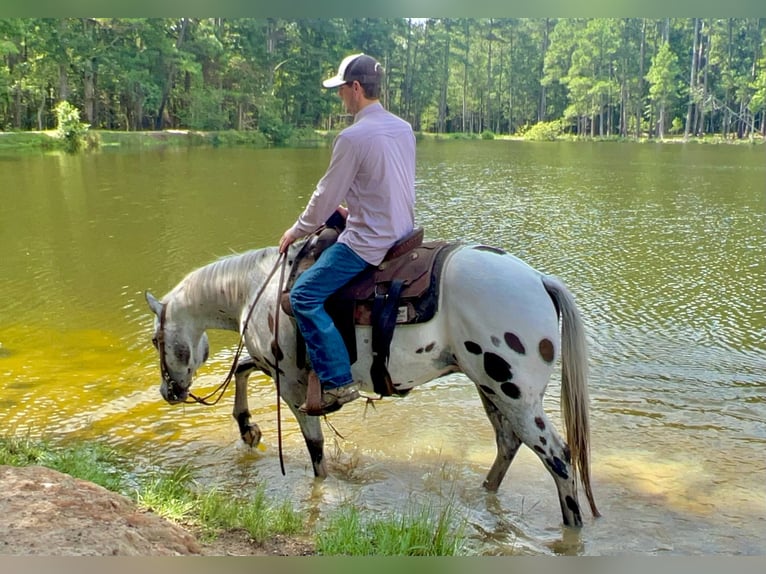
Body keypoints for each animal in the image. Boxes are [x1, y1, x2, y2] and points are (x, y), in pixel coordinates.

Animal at [144, 238, 600, 528]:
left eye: (155, 340)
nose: (169, 393)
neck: (257, 288)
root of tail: (539, 280)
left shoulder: (292, 388)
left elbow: (315, 450)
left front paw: (319, 486)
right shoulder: (274, 367)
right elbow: (241, 370)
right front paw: (248, 428)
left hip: (515, 396)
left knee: (558, 458)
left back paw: (572, 525)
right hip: (489, 388)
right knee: (508, 443)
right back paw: (484, 493)